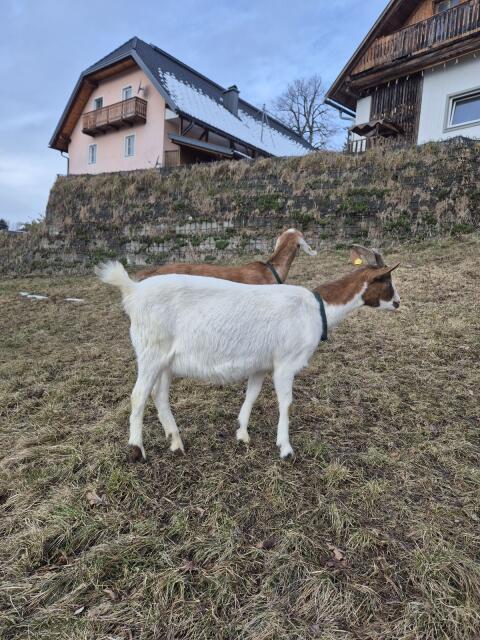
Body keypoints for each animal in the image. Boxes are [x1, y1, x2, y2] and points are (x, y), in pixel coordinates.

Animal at [96, 244, 400, 460]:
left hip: (165, 360)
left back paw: (176, 442)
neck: (316, 308)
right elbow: (286, 403)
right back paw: (137, 450)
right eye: (386, 280)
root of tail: (133, 291)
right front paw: (286, 448)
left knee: (159, 395)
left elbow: (251, 395)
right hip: (150, 352)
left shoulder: (261, 365)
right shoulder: (285, 363)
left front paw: (242, 433)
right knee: (138, 396)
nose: (397, 302)